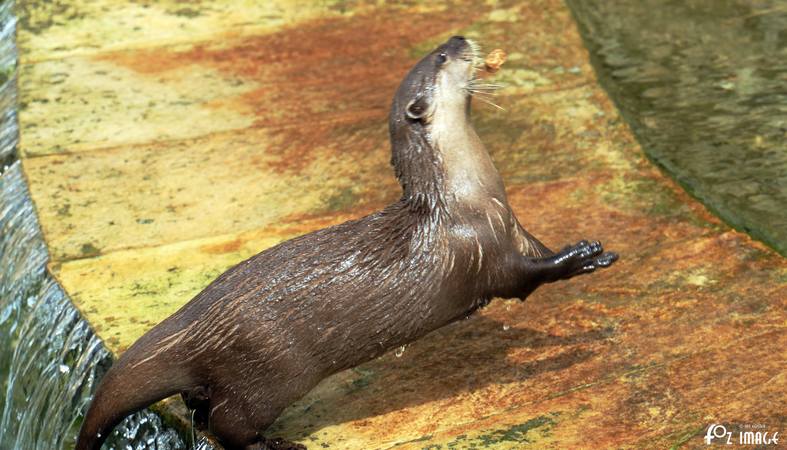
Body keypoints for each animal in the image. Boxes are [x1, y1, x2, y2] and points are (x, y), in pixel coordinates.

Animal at [75, 36, 617, 450]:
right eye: (442, 58)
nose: (460, 37)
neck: (467, 196)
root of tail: (197, 322)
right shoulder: (483, 251)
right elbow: (525, 279)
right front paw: (580, 258)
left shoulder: (514, 228)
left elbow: (539, 250)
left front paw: (592, 252)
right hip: (270, 372)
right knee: (230, 424)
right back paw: (275, 443)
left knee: (204, 407)